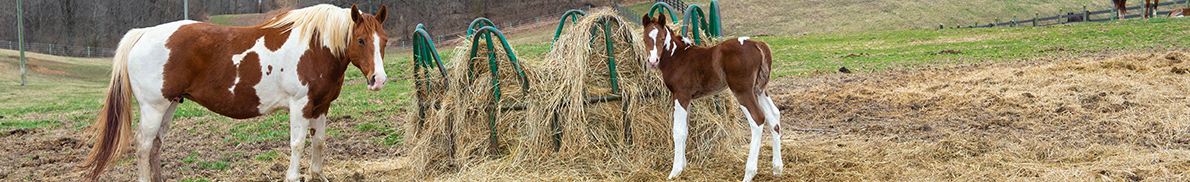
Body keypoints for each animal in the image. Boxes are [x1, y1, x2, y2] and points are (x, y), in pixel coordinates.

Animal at [83, 4, 390, 182]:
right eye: (360, 40)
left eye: (384, 40)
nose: (379, 80)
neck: (315, 46)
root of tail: (143, 33)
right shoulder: (300, 106)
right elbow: (297, 144)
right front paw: (293, 176)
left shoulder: (321, 106)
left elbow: (319, 143)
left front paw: (318, 175)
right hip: (153, 107)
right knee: (144, 145)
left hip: (169, 105)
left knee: (156, 145)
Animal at [642, 14, 780, 180]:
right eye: (644, 39)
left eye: (662, 39)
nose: (652, 62)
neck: (677, 56)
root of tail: (756, 43)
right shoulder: (688, 99)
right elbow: (686, 130)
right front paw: (684, 166)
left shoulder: (680, 94)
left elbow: (678, 131)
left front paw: (675, 171)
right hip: (759, 89)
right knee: (774, 115)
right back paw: (777, 169)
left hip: (742, 90)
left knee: (757, 118)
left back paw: (749, 173)